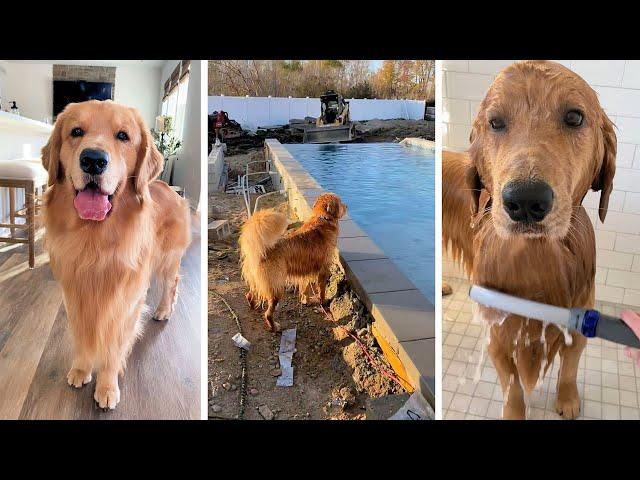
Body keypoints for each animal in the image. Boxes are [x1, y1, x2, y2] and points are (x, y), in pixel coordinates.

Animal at [41, 100, 191, 408]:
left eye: (123, 136)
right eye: (76, 131)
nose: (93, 159)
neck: (94, 244)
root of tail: (170, 188)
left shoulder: (125, 306)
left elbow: (112, 351)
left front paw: (107, 388)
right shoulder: (75, 296)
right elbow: (83, 339)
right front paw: (81, 369)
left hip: (167, 259)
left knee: (172, 282)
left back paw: (163, 310)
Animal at [240, 193, 348, 332]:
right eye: (340, 202)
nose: (347, 206)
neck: (323, 218)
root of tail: (262, 251)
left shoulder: (306, 271)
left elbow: (305, 288)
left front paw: (305, 300)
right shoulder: (323, 269)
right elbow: (322, 290)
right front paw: (323, 302)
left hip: (257, 282)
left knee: (249, 295)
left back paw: (254, 306)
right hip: (276, 287)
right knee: (268, 313)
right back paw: (274, 326)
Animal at [444, 61, 616, 420]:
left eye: (574, 117)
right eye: (495, 122)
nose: (525, 201)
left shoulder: (580, 323)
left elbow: (569, 369)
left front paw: (567, 400)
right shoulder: (498, 336)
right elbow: (512, 385)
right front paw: (514, 412)